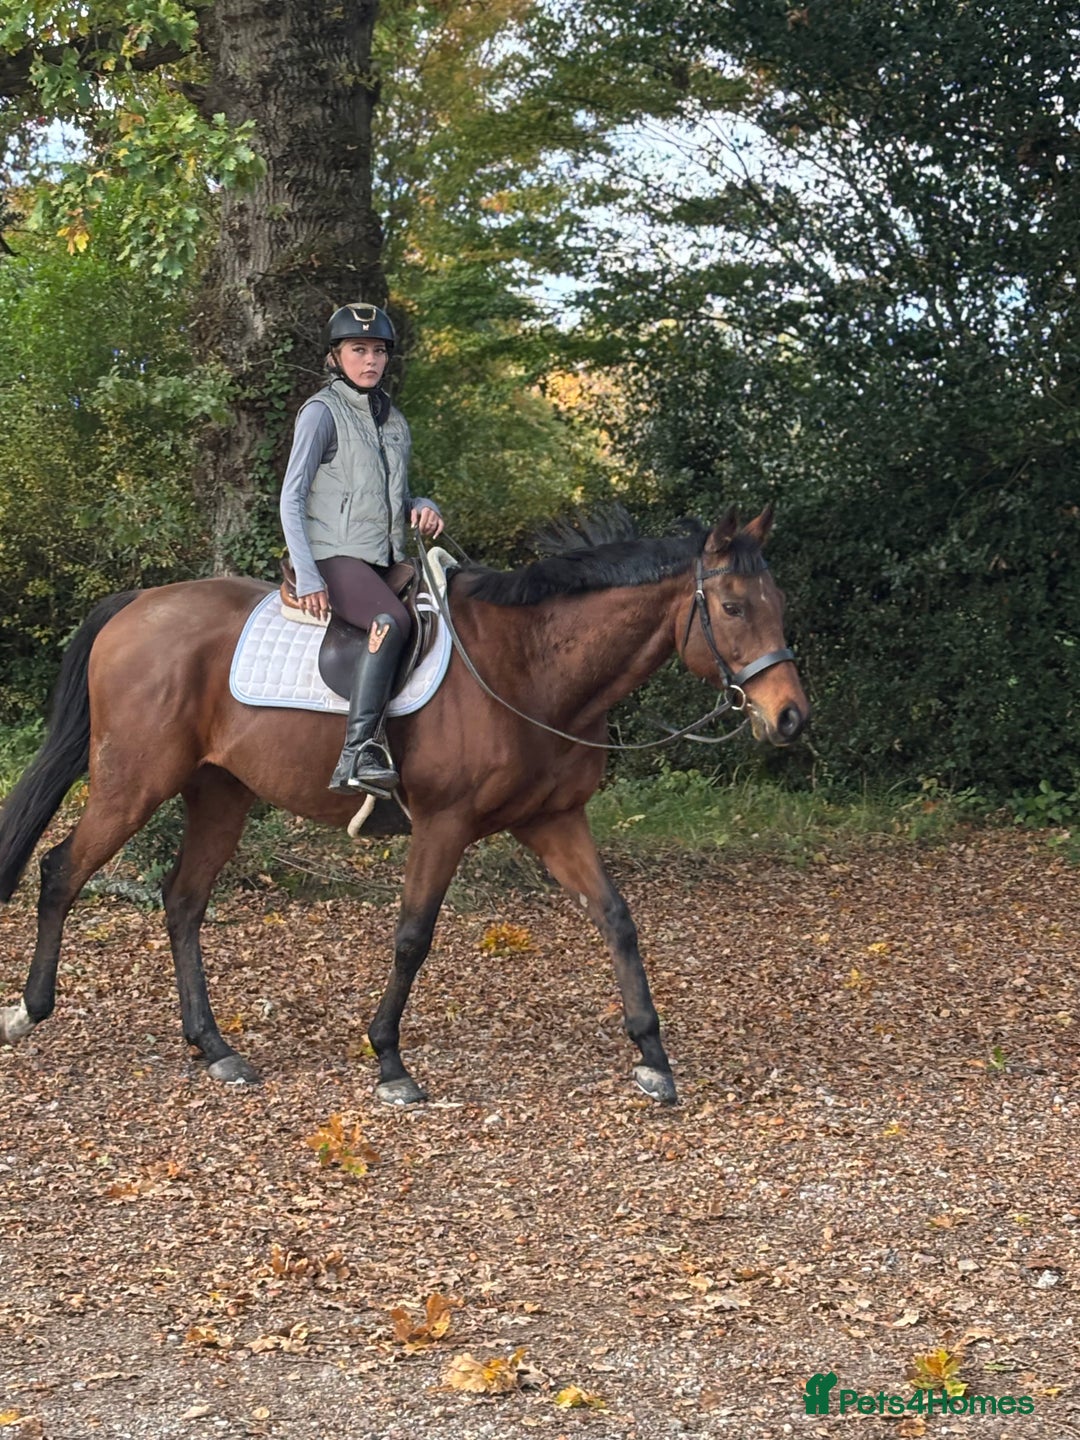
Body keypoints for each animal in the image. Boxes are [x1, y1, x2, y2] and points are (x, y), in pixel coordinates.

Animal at [0, 506, 808, 1105]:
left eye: (778, 604)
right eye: (732, 606)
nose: (791, 718)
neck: (529, 664)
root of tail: (138, 604)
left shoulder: (552, 821)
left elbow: (616, 918)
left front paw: (652, 1056)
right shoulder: (444, 825)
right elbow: (413, 936)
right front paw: (389, 1062)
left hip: (219, 794)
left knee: (182, 900)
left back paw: (215, 1048)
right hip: (130, 782)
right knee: (62, 871)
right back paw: (29, 1010)